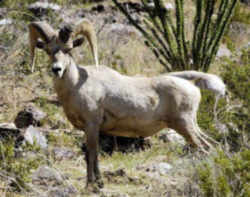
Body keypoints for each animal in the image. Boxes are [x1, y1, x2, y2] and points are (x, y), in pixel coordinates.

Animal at [28, 19, 226, 190]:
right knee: (213, 145)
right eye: (48, 50)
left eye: (68, 49)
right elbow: (90, 154)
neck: (76, 86)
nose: (57, 69)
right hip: (191, 125)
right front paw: (96, 183)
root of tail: (191, 85)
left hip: (183, 126)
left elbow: (92, 153)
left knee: (205, 148)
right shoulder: (88, 129)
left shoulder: (92, 125)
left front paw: (93, 185)